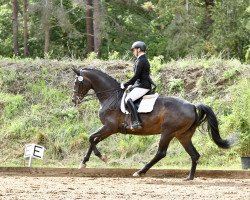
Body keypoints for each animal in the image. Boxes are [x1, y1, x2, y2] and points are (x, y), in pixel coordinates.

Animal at [71, 68, 233, 180]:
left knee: (161, 153)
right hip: (183, 135)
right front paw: (84, 162)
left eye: (77, 83)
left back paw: (140, 172)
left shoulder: (110, 127)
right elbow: (93, 139)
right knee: (194, 154)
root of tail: (193, 105)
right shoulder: (110, 129)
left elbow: (91, 138)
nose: (74, 100)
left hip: (168, 132)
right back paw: (189, 177)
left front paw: (102, 157)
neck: (110, 97)